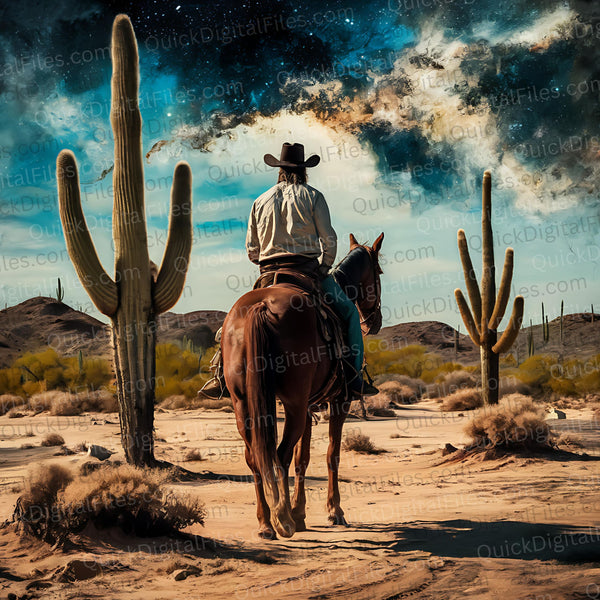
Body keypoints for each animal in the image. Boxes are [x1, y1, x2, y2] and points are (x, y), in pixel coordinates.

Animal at [221, 232, 384, 536]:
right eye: (378, 272)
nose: (374, 323)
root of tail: (261, 306)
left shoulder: (309, 404)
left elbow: (303, 457)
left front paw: (300, 513)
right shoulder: (339, 401)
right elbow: (332, 454)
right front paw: (333, 511)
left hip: (243, 403)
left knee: (255, 456)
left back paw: (266, 522)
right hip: (294, 403)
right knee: (280, 453)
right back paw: (282, 519)